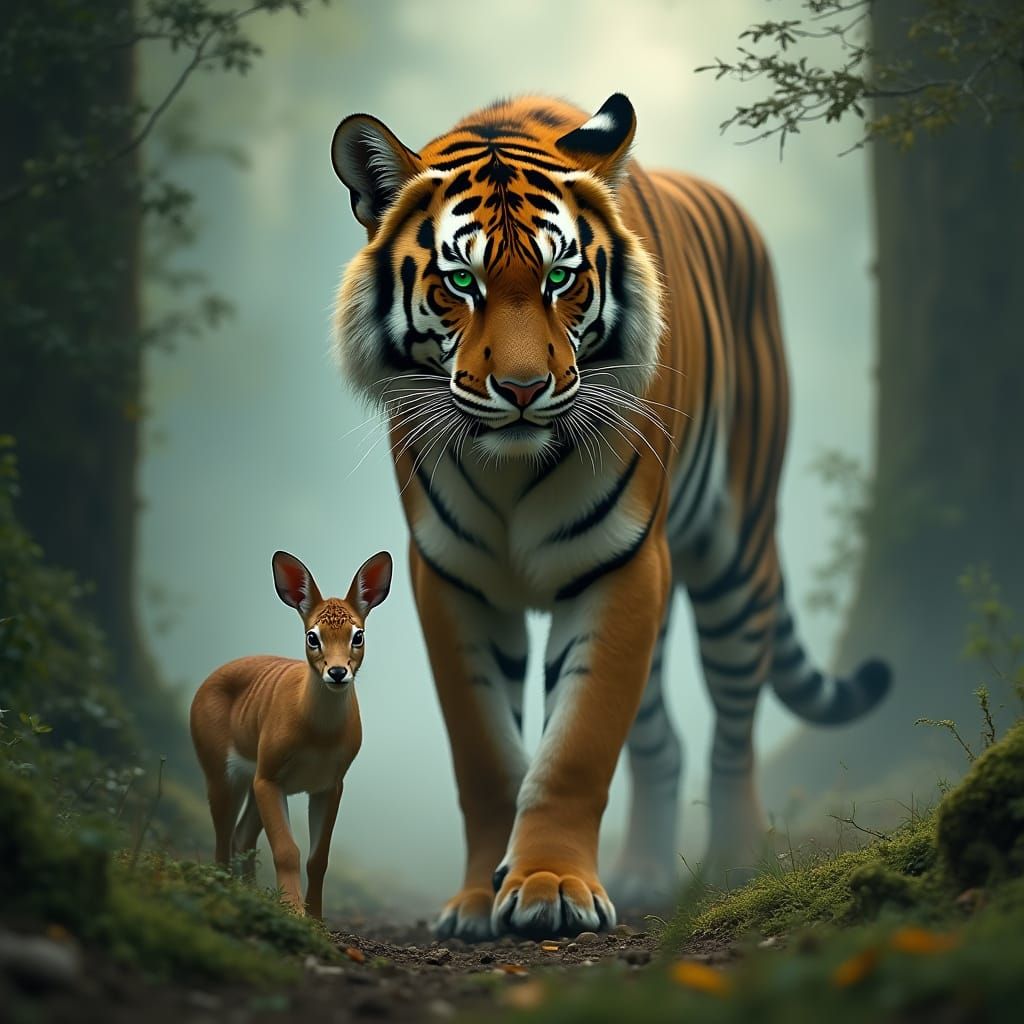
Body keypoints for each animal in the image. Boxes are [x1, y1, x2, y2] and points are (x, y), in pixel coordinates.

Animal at [329, 93, 890, 940]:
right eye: (461, 281)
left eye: (560, 277)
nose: (523, 389)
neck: (508, 466)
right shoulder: (451, 578)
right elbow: (485, 754)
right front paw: (476, 901)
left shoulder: (621, 564)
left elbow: (578, 745)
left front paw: (551, 886)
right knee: (662, 740)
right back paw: (647, 872)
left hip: (735, 559)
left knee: (733, 728)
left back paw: (735, 864)